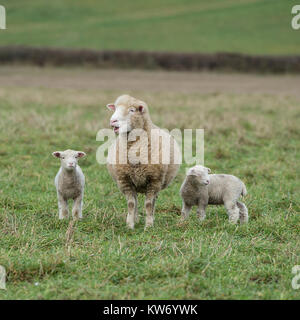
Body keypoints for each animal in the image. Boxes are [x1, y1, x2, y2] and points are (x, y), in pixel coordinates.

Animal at [105, 94, 180, 229]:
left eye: (132, 110)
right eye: (115, 109)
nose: (112, 121)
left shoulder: (154, 180)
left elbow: (149, 204)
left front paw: (149, 226)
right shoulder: (125, 180)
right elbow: (131, 204)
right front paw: (130, 225)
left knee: (153, 201)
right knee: (135, 201)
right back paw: (135, 219)